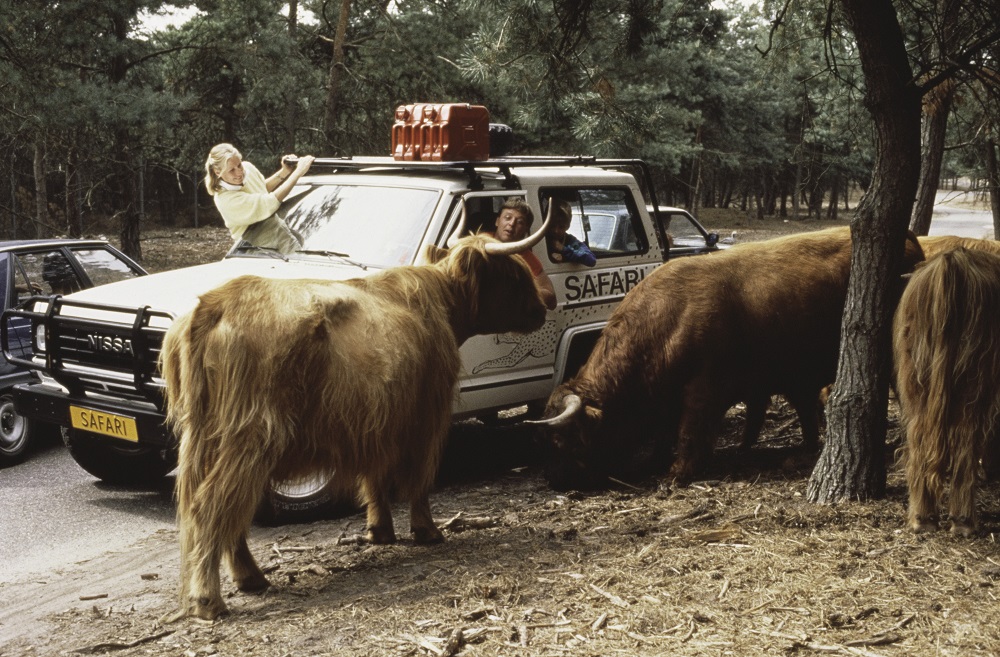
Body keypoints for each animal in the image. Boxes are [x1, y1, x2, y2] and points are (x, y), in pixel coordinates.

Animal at [162, 224, 548, 616]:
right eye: (514, 274)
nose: (544, 306)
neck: (442, 303)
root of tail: (215, 303)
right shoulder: (426, 415)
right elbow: (419, 478)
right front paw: (426, 530)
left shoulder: (376, 421)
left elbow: (375, 477)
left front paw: (380, 531)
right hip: (253, 434)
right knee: (214, 505)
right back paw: (209, 599)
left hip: (204, 438)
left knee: (222, 506)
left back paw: (250, 578)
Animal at [536, 226, 924, 486]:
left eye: (561, 439)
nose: (553, 479)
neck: (668, 319)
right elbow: (671, 431)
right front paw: (659, 461)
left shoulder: (703, 392)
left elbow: (689, 432)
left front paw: (678, 473)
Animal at [896, 249, 1000, 536]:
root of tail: (951, 260)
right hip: (975, 377)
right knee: (966, 437)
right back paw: (963, 521)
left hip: (916, 377)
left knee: (918, 436)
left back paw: (923, 518)